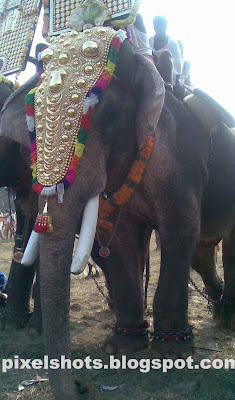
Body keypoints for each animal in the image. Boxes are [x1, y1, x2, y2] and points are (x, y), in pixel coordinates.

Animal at [0, 26, 235, 398]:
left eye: (108, 116)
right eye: (31, 125)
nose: (82, 385)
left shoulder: (177, 155)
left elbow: (178, 229)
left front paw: (171, 352)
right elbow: (120, 241)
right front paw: (121, 346)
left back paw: (226, 318)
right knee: (201, 252)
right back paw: (217, 311)